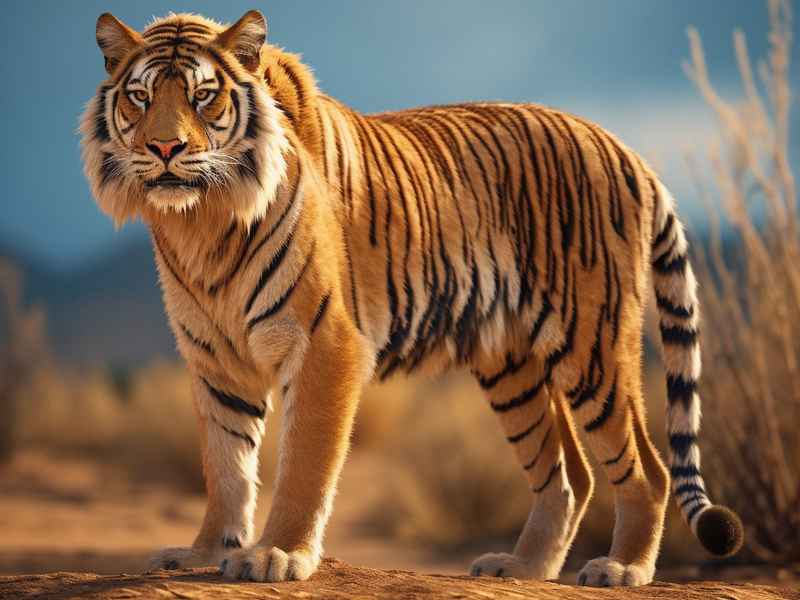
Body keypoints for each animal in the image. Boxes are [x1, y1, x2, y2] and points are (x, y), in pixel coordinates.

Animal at [80, 9, 743, 587]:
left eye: (203, 96)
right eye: (140, 97)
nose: (165, 149)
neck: (202, 222)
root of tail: (625, 147)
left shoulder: (324, 341)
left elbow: (304, 463)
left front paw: (278, 555)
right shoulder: (215, 358)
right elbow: (226, 467)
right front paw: (201, 553)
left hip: (592, 347)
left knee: (648, 470)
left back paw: (622, 569)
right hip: (511, 365)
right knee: (568, 476)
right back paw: (522, 568)